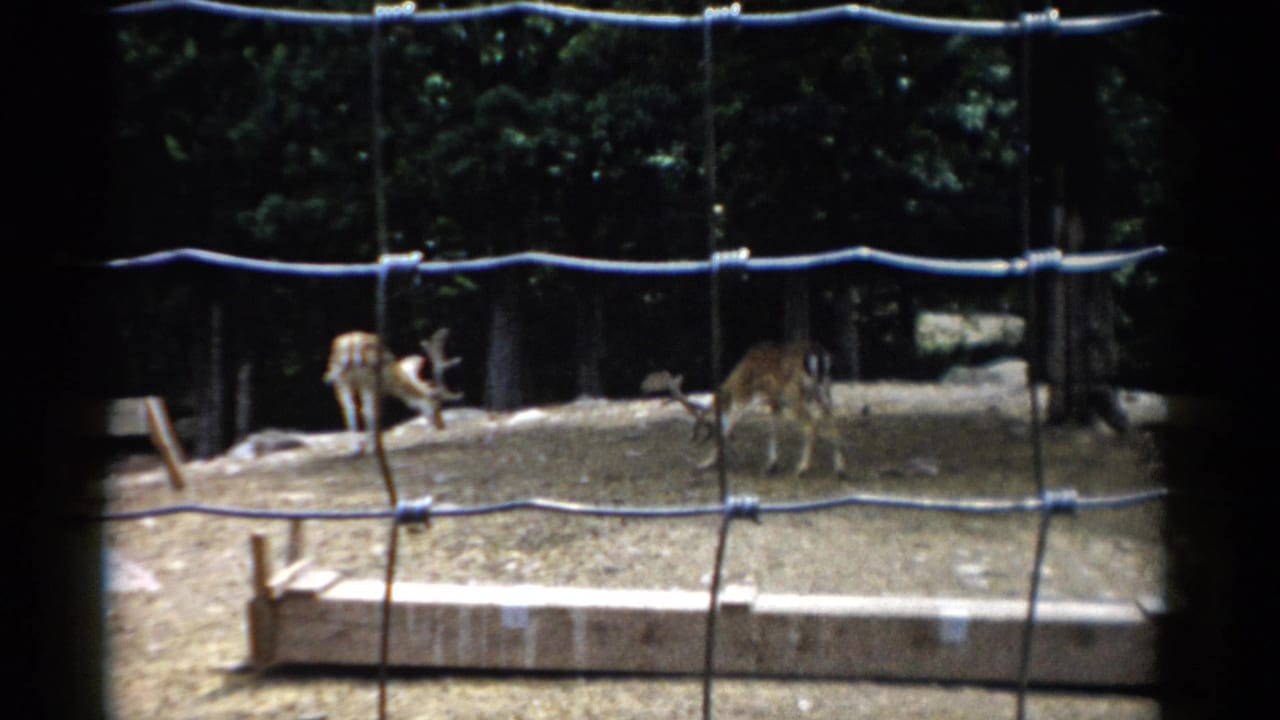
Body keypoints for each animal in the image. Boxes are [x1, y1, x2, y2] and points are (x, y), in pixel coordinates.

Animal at [323, 329, 463, 455]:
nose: (441, 425)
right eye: (436, 403)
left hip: (340, 379)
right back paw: (371, 447)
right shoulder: (378, 386)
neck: (393, 382)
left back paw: (356, 449)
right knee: (366, 410)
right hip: (367, 379)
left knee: (349, 408)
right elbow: (375, 411)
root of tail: (351, 347)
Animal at [643, 340, 848, 477]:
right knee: (833, 421)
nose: (693, 438)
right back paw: (840, 469)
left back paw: (803, 468)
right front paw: (771, 464)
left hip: (794, 394)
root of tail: (819, 356)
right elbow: (772, 427)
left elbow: (729, 426)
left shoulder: (746, 398)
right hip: (825, 389)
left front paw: (705, 463)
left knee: (811, 424)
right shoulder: (773, 401)